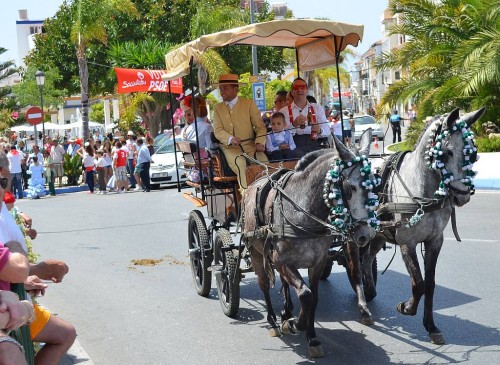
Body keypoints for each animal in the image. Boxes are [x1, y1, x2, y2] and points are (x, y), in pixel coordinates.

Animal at [243, 129, 378, 356]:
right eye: (349, 187)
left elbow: (312, 298)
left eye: (374, 184)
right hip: (256, 252)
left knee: (285, 283)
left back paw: (286, 311)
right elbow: (305, 295)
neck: (302, 210)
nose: (365, 234)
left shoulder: (318, 262)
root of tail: (252, 186)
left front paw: (311, 336)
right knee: (264, 285)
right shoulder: (281, 260)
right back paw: (273, 321)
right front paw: (295, 324)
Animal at [352, 106, 484, 344]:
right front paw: (406, 307)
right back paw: (363, 308)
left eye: (473, 153)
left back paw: (370, 290)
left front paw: (431, 326)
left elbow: (429, 284)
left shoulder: (435, 241)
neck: (420, 188)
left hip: (378, 235)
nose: (462, 196)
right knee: (356, 265)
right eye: (446, 153)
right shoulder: (407, 242)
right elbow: (418, 283)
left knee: (367, 258)